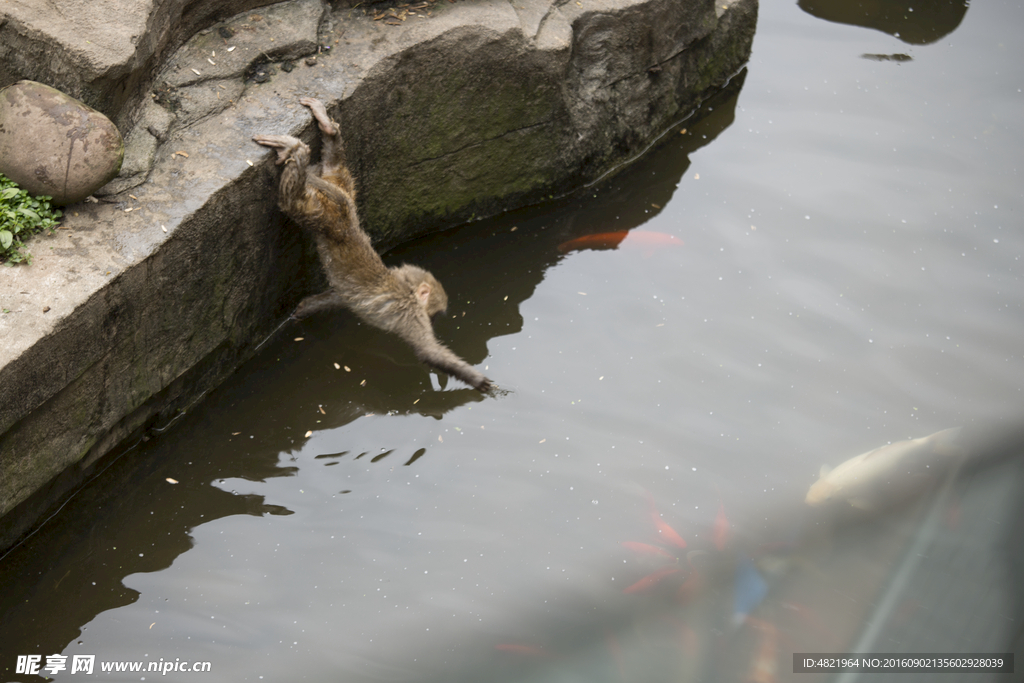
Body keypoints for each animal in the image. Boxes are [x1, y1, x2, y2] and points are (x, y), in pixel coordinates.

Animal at [251, 98, 491, 393]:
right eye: (433, 315)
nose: (434, 320)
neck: (407, 290)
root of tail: (346, 216)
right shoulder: (410, 314)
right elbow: (428, 353)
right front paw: (478, 380)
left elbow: (324, 300)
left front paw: (300, 313)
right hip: (319, 213)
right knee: (291, 201)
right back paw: (296, 150)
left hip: (334, 192)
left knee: (336, 170)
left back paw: (326, 132)